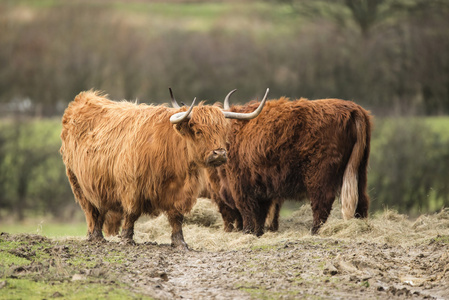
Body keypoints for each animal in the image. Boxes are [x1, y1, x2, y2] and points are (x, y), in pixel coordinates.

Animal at [61, 90, 268, 250]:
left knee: (99, 208)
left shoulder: (181, 193)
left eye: (222, 131)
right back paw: (95, 237)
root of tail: (84, 98)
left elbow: (177, 218)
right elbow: (131, 213)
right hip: (77, 182)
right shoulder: (132, 187)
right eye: (199, 131)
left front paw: (180, 243)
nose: (219, 154)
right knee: (91, 210)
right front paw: (126, 239)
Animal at [203, 94, 372, 237]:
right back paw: (362, 228)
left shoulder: (240, 183)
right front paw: (258, 233)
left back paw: (314, 231)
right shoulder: (261, 186)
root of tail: (352, 109)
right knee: (362, 199)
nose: (215, 153)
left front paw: (248, 232)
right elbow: (260, 213)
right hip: (359, 169)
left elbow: (247, 210)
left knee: (322, 202)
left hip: (319, 173)